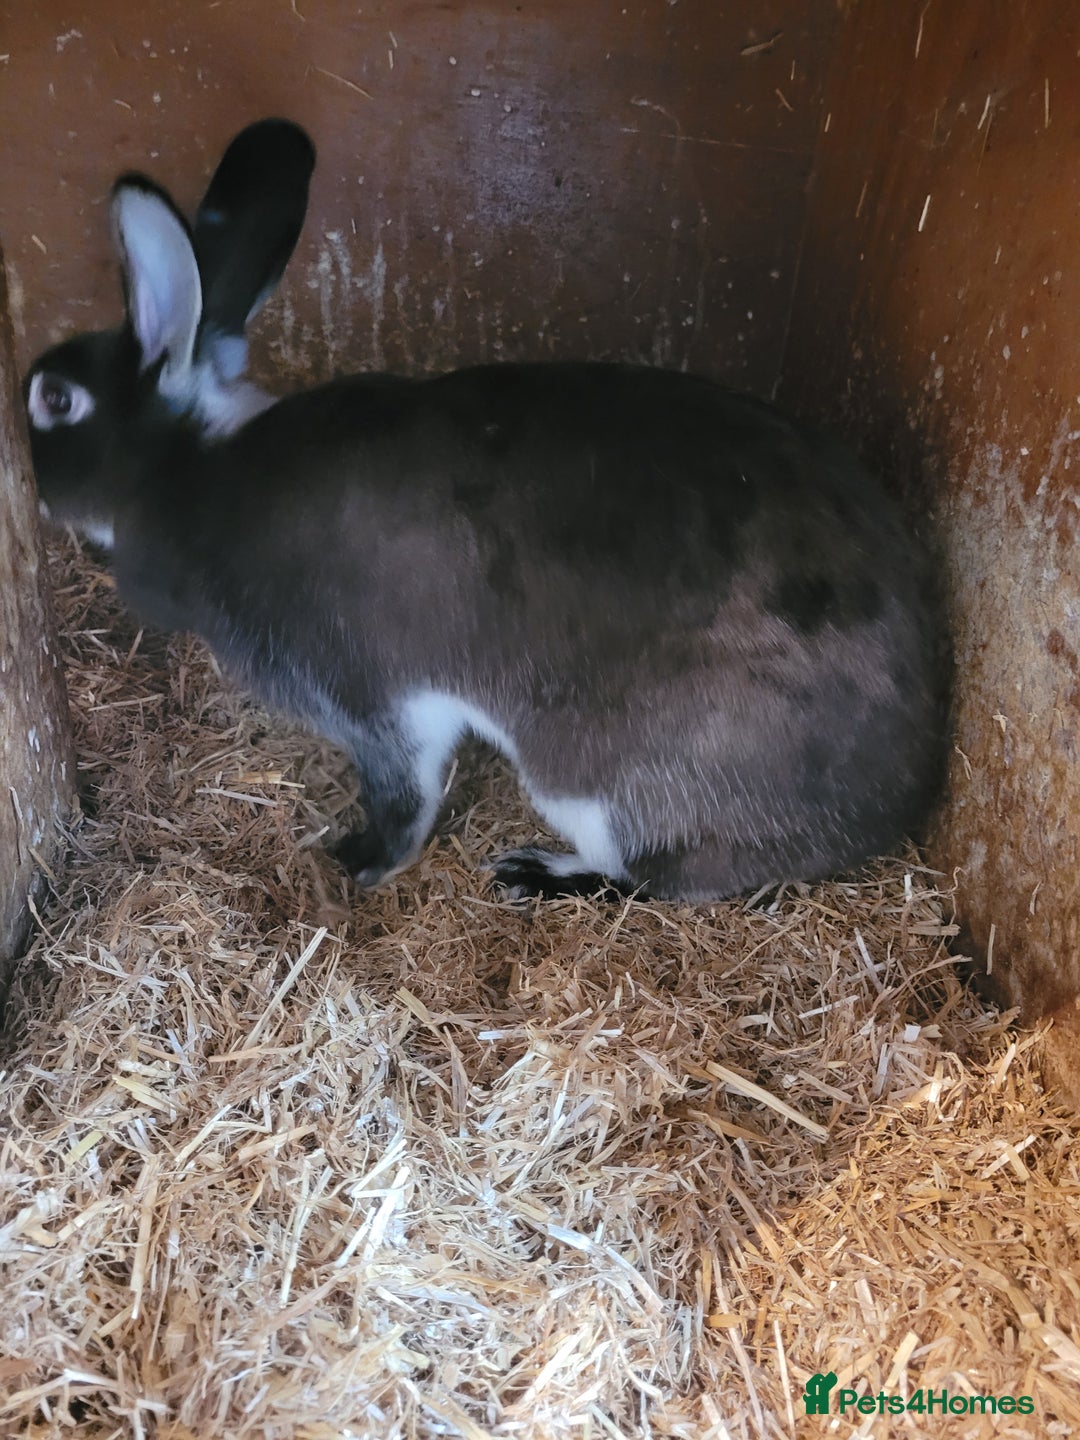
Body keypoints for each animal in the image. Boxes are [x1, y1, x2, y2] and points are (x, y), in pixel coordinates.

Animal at [24, 123, 945, 903]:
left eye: (54, 399)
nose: (26, 482)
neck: (197, 470)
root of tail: (897, 805)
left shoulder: (373, 700)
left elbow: (405, 793)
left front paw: (362, 863)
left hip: (594, 782)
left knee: (662, 874)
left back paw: (539, 873)